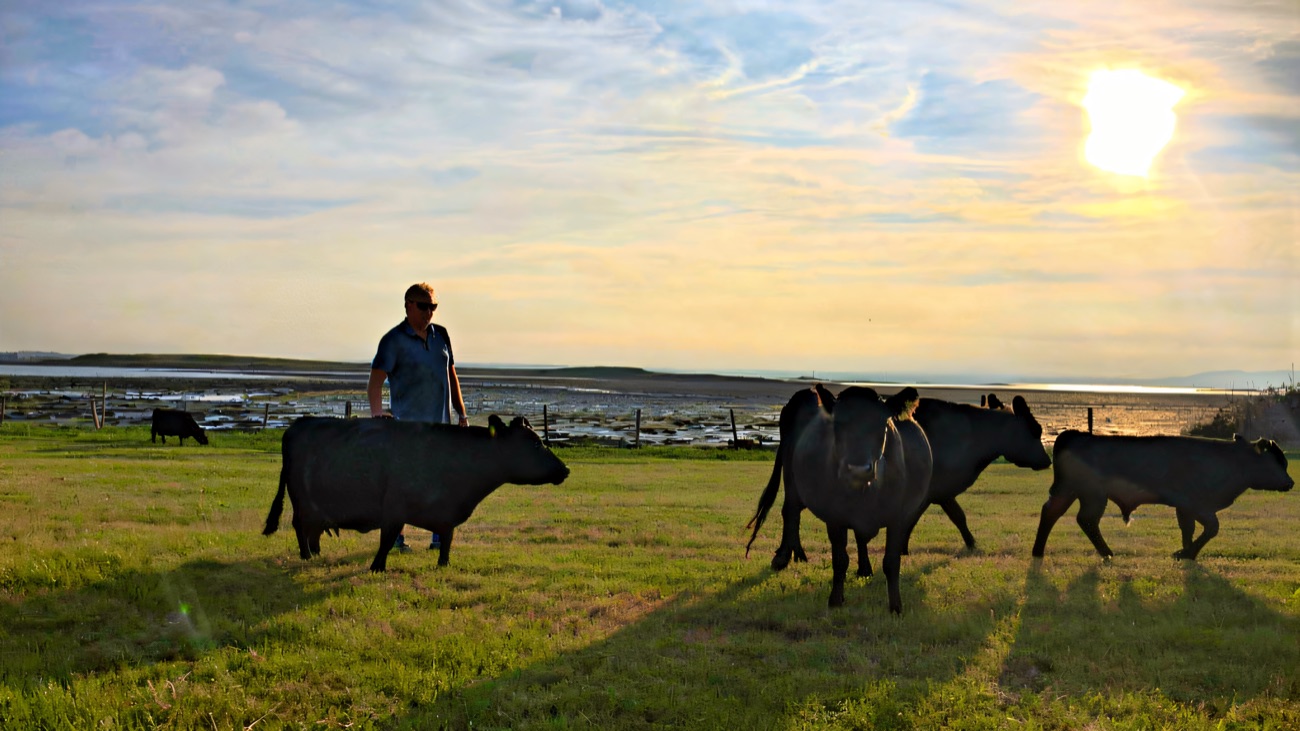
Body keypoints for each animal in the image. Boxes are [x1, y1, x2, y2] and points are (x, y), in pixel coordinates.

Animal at [263, 414, 570, 572]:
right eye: (534, 443)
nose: (565, 469)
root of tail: (299, 423)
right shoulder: (394, 509)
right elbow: (387, 540)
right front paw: (377, 567)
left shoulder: (446, 516)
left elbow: (447, 540)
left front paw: (443, 564)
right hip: (301, 501)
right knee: (299, 526)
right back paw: (306, 556)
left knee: (313, 530)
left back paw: (316, 555)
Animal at [749, 391, 1050, 577]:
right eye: (1034, 431)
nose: (1047, 460)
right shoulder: (936, 489)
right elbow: (955, 516)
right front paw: (971, 544)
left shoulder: (929, 491)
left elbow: (922, 518)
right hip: (793, 477)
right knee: (789, 510)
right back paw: (783, 557)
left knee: (794, 512)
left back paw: (797, 553)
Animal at [757, 385, 932, 612]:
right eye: (838, 425)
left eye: (882, 425)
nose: (857, 470)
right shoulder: (834, 516)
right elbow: (840, 559)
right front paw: (835, 600)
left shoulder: (898, 517)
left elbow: (891, 562)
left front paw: (895, 606)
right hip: (790, 477)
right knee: (791, 512)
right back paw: (783, 557)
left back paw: (864, 568)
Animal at [1031, 430, 1293, 560]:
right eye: (1276, 462)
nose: (1291, 482)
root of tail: (1075, 435)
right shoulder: (1196, 504)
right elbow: (1211, 528)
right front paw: (1185, 553)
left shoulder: (1185, 508)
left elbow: (1188, 529)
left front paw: (1187, 553)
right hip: (1091, 495)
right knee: (1085, 520)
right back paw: (1107, 552)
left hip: (1070, 491)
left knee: (1053, 513)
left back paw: (1038, 551)